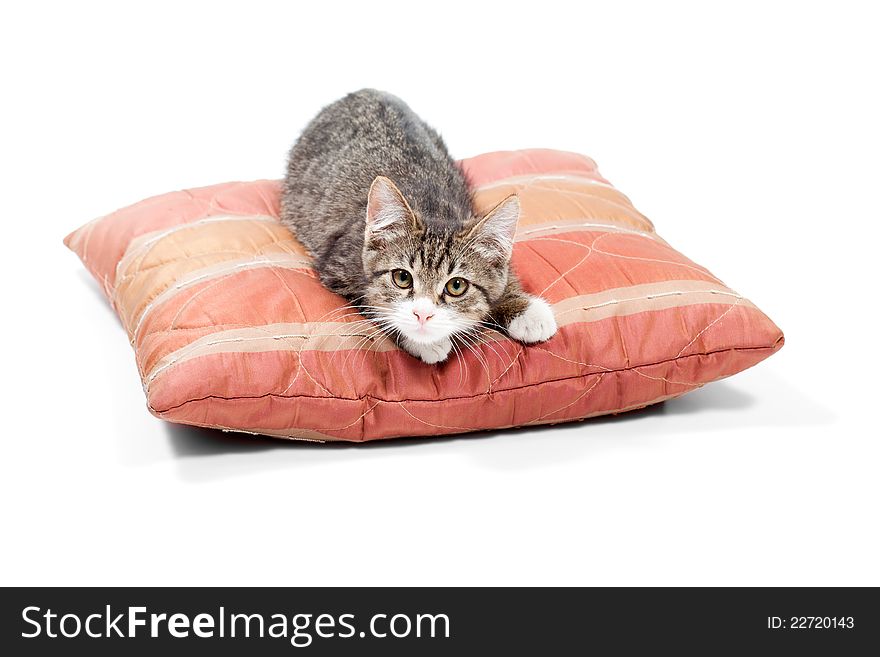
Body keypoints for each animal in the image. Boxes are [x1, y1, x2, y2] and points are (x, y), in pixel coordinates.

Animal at [282, 88, 556, 364]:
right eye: (402, 278)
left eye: (456, 286)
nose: (423, 315)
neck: (432, 207)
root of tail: (364, 90)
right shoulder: (340, 266)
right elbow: (374, 303)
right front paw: (423, 341)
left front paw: (526, 309)